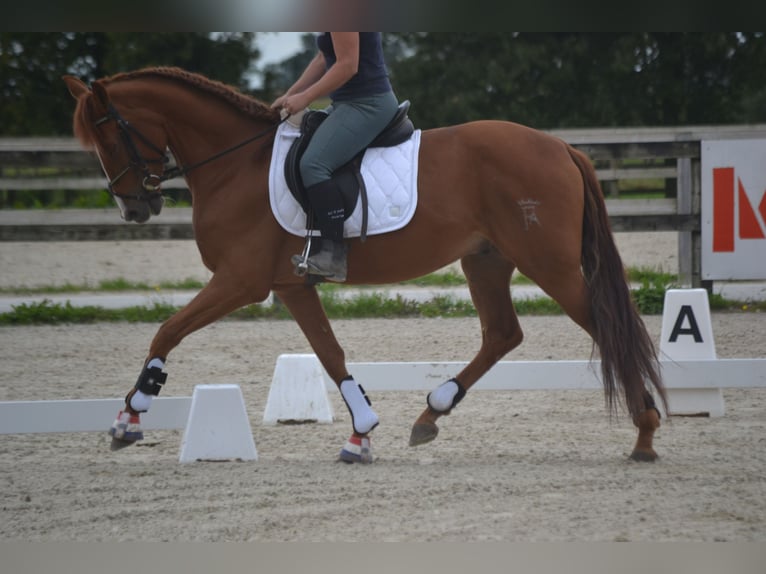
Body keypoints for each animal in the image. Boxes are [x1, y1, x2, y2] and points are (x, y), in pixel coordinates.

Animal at [64, 67, 664, 464]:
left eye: (108, 134)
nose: (135, 208)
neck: (236, 164)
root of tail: (561, 147)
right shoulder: (290, 284)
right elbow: (330, 354)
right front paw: (362, 432)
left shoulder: (240, 281)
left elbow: (168, 330)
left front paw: (129, 416)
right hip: (486, 260)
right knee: (502, 334)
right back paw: (430, 414)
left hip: (549, 264)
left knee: (606, 326)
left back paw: (645, 432)